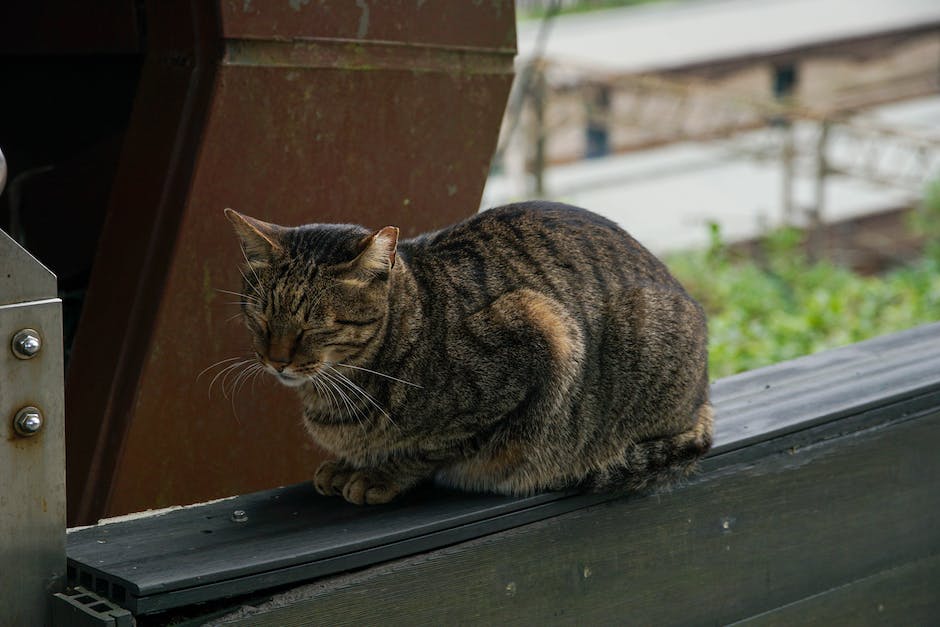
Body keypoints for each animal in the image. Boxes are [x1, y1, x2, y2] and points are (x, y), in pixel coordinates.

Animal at [226, 204, 712, 508]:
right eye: (260, 317)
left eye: (314, 325)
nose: (276, 360)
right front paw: (349, 465)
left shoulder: (540, 335)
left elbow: (436, 446)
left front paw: (380, 474)